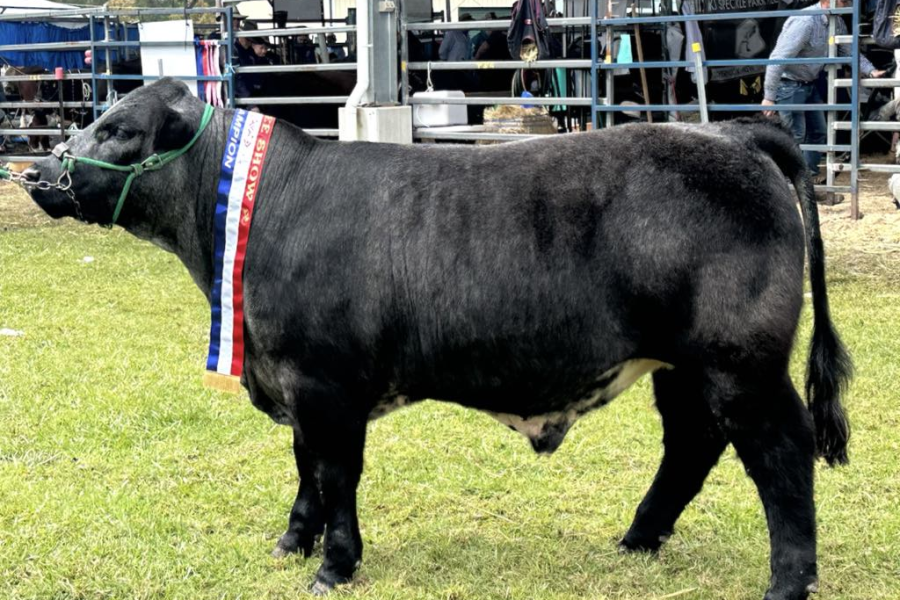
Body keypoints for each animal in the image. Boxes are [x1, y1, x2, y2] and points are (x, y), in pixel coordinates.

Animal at [24, 78, 852, 600]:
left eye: (119, 130)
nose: (34, 171)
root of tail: (729, 131)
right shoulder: (295, 379)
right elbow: (305, 467)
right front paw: (293, 542)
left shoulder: (326, 383)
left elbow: (336, 473)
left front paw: (335, 565)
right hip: (679, 366)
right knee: (691, 443)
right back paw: (639, 539)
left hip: (740, 363)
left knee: (781, 453)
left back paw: (788, 580)